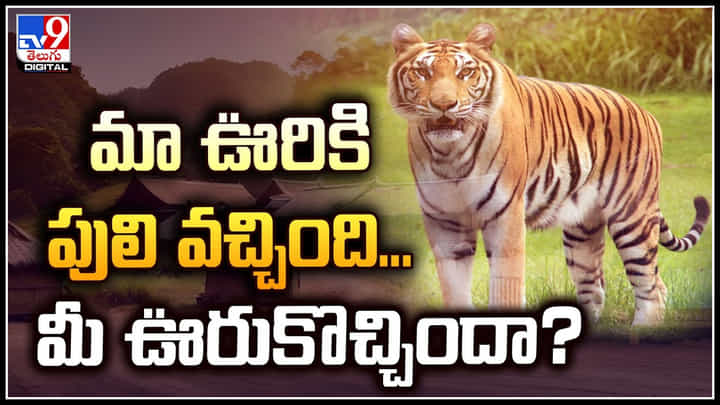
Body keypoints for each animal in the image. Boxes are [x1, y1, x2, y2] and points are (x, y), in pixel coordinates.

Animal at [387, 23, 710, 326]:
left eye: (465, 72)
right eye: (422, 72)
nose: (444, 105)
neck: (449, 154)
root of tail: (645, 112)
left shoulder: (505, 217)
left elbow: (506, 287)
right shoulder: (445, 224)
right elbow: (454, 290)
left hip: (632, 216)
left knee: (653, 285)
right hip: (582, 229)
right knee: (594, 285)